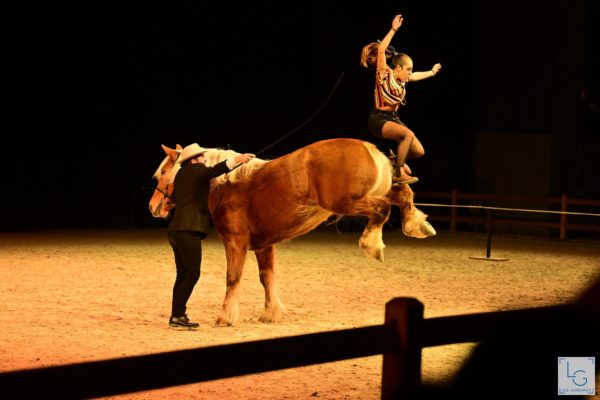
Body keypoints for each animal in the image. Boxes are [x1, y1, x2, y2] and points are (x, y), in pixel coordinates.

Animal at [148, 139, 434, 326]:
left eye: (162, 172)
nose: (153, 207)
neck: (227, 183)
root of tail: (369, 149)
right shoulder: (263, 245)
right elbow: (267, 278)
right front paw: (270, 313)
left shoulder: (235, 241)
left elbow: (233, 277)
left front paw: (226, 317)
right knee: (402, 196)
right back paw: (416, 224)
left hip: (347, 202)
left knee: (383, 207)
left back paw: (371, 243)